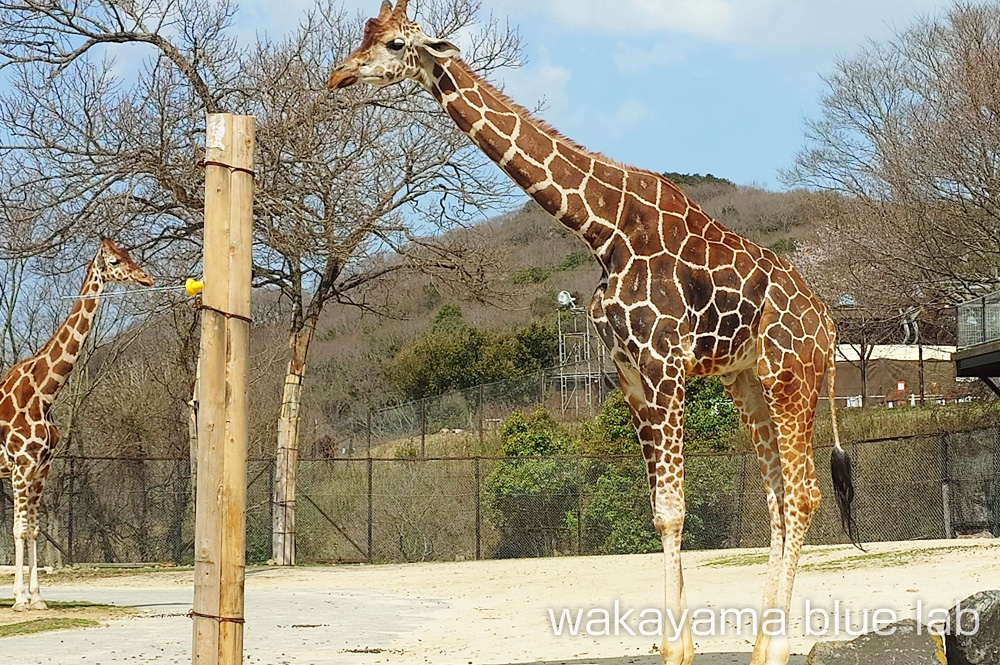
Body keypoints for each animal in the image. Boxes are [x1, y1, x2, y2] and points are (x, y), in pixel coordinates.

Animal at [0, 240, 152, 612]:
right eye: (115, 261)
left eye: (128, 254)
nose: (146, 279)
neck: (43, 394)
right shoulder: (21, 467)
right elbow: (19, 530)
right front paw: (19, 600)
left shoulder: (42, 468)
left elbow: (33, 529)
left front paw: (37, 599)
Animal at [328, 2, 860, 660]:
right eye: (365, 34)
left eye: (396, 44)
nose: (339, 77)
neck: (603, 229)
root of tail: (829, 321)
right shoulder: (628, 375)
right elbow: (658, 511)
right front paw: (673, 647)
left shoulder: (664, 366)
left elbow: (673, 510)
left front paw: (677, 649)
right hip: (748, 383)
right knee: (779, 500)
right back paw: (763, 645)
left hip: (791, 376)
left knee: (804, 492)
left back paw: (780, 645)